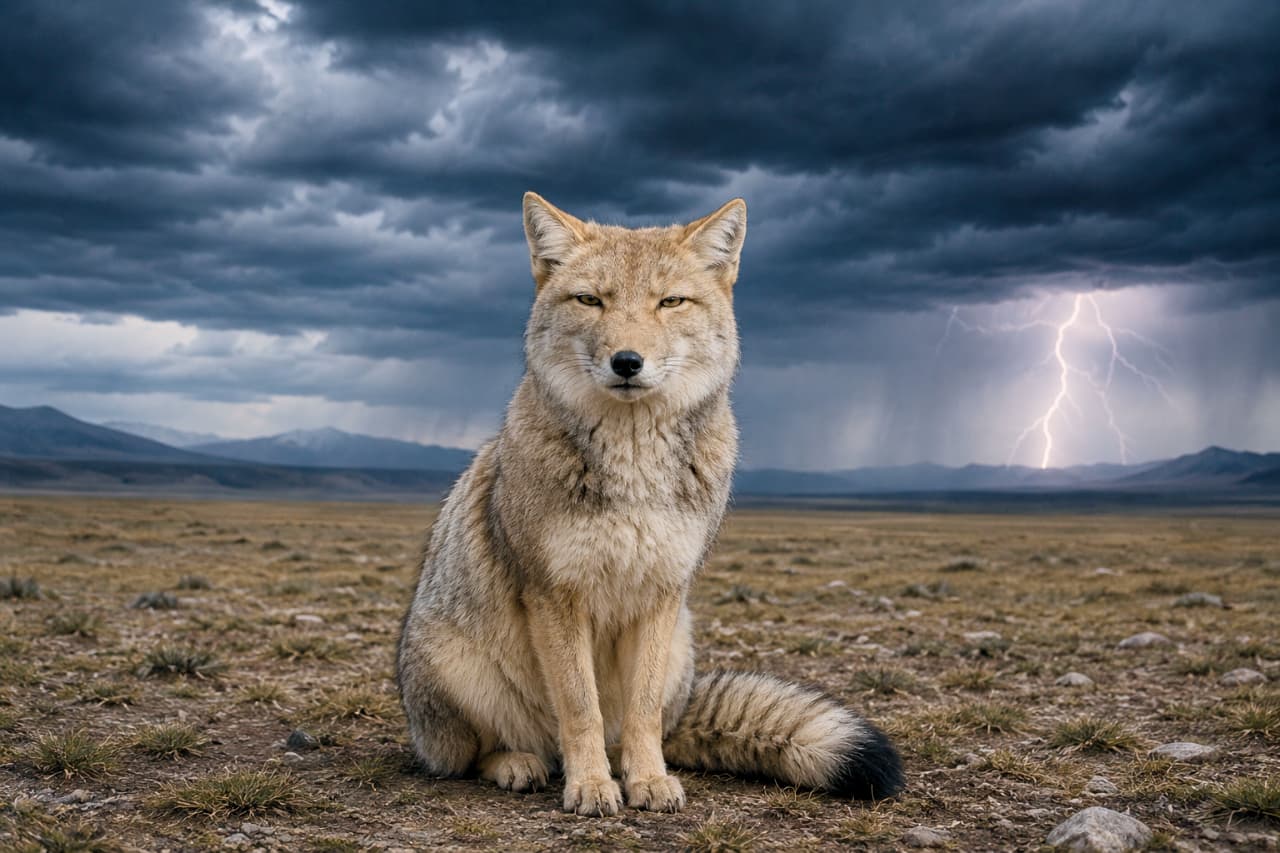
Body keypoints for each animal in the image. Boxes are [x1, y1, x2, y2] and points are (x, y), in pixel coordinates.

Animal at [396, 192, 904, 816]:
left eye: (670, 302)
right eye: (591, 300)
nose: (627, 361)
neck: (634, 464)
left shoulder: (663, 591)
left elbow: (639, 712)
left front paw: (647, 779)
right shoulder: (555, 594)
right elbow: (580, 709)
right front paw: (591, 785)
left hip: (681, 652)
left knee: (651, 724)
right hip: (455, 672)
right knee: (478, 753)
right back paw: (522, 763)